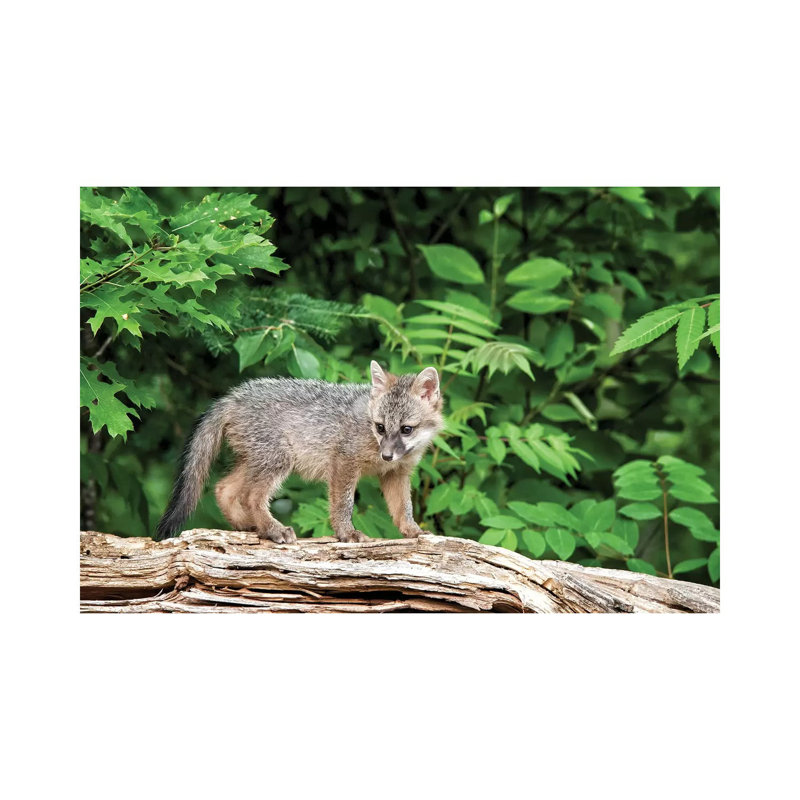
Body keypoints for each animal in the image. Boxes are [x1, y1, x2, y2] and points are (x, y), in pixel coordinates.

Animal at [154, 361, 444, 543]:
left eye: (406, 429)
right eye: (380, 427)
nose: (386, 456)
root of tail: (234, 395)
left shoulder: (397, 473)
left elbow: (403, 509)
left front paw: (414, 532)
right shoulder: (344, 462)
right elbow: (343, 504)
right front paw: (347, 533)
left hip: (258, 461)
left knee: (223, 489)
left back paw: (251, 526)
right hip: (279, 461)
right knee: (250, 496)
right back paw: (273, 529)